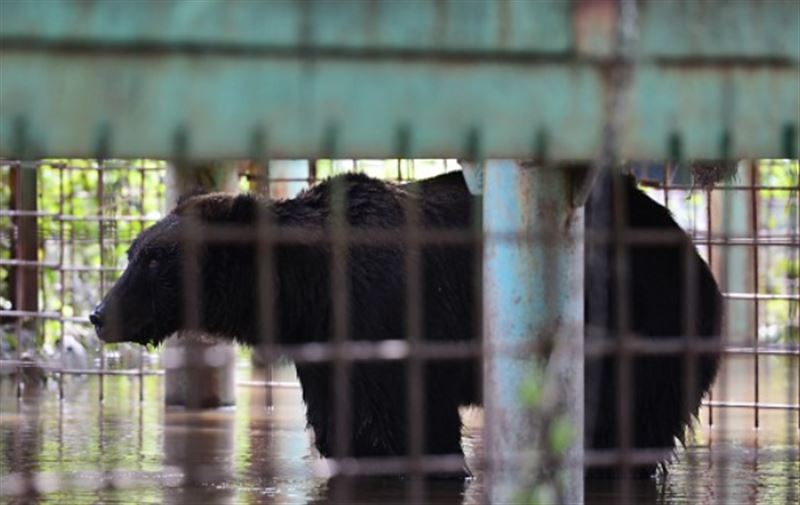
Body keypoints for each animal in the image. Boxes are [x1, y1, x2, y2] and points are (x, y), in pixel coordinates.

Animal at [90, 168, 720, 476]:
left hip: (646, 317)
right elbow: (348, 423)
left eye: (153, 260)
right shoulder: (327, 342)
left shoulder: (388, 315)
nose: (99, 314)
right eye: (133, 252)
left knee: (626, 417)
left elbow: (401, 424)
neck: (307, 286)